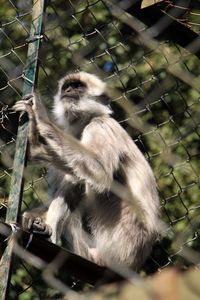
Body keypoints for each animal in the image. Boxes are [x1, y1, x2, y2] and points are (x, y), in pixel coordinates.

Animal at [13, 71, 160, 270]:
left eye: (77, 87)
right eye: (66, 87)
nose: (67, 91)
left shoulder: (101, 125)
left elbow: (100, 173)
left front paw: (40, 118)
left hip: (122, 240)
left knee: (84, 181)